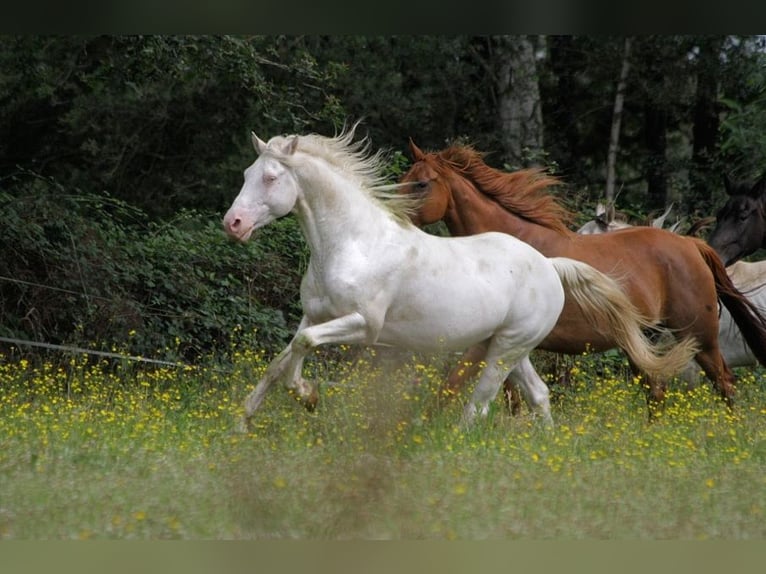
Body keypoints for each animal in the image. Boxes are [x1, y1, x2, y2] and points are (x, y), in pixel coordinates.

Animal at [225, 127, 700, 432]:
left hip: (505, 350)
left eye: (271, 177)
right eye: (246, 174)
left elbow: (300, 351)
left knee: (480, 405)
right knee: (539, 394)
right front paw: (243, 423)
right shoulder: (315, 317)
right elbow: (281, 360)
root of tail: (550, 266)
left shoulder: (363, 325)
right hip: (511, 346)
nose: (233, 223)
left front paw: (307, 396)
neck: (353, 243)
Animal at [400, 142, 766, 416]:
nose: (395, 217)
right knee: (657, 389)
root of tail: (693, 245)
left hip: (698, 336)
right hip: (644, 341)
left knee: (724, 382)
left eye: (422, 183)